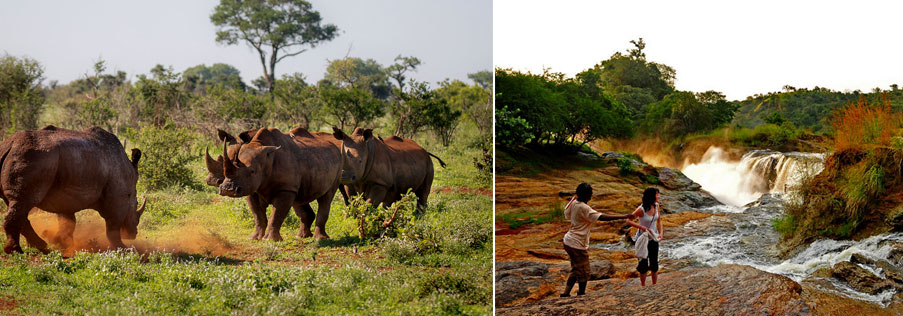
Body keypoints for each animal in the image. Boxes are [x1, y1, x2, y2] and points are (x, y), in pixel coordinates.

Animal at [0, 126, 144, 254]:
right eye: (136, 204)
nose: (133, 234)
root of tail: (9, 145)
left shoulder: (64, 194)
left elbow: (68, 221)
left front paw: (61, 243)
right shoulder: (117, 197)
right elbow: (113, 227)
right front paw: (125, 249)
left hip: (32, 158)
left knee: (17, 205)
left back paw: (41, 247)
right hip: (32, 157)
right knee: (22, 202)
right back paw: (16, 251)